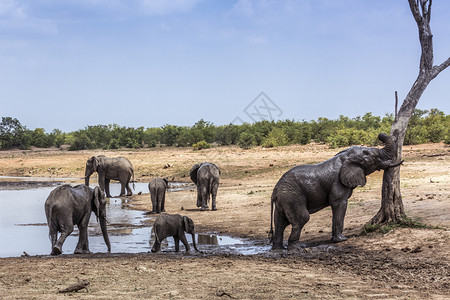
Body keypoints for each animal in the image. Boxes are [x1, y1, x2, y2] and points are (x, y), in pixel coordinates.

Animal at [268, 134, 402, 251]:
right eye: (374, 158)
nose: (380, 135)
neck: (346, 156)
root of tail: (275, 190)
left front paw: (334, 239)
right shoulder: (338, 183)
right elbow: (339, 204)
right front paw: (342, 240)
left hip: (284, 199)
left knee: (280, 222)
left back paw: (278, 249)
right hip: (292, 197)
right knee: (301, 218)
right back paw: (296, 249)